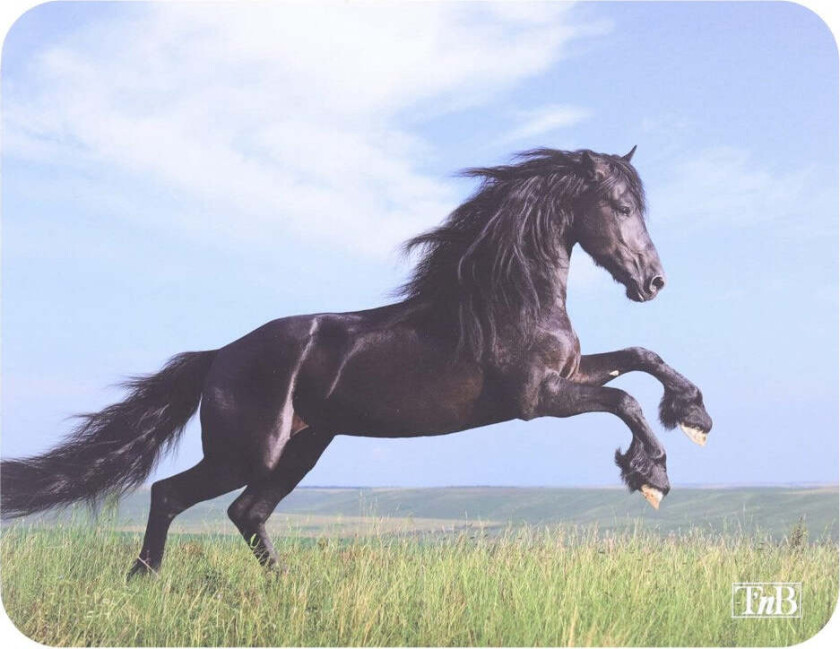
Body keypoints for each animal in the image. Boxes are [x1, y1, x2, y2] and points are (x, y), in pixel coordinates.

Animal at [1, 147, 713, 577]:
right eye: (623, 207)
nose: (653, 282)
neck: (507, 299)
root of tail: (217, 358)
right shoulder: (537, 399)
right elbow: (623, 398)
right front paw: (651, 474)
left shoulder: (567, 375)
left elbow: (640, 358)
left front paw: (694, 415)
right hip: (247, 451)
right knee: (172, 493)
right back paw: (144, 578)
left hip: (302, 447)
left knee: (246, 513)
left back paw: (284, 588)